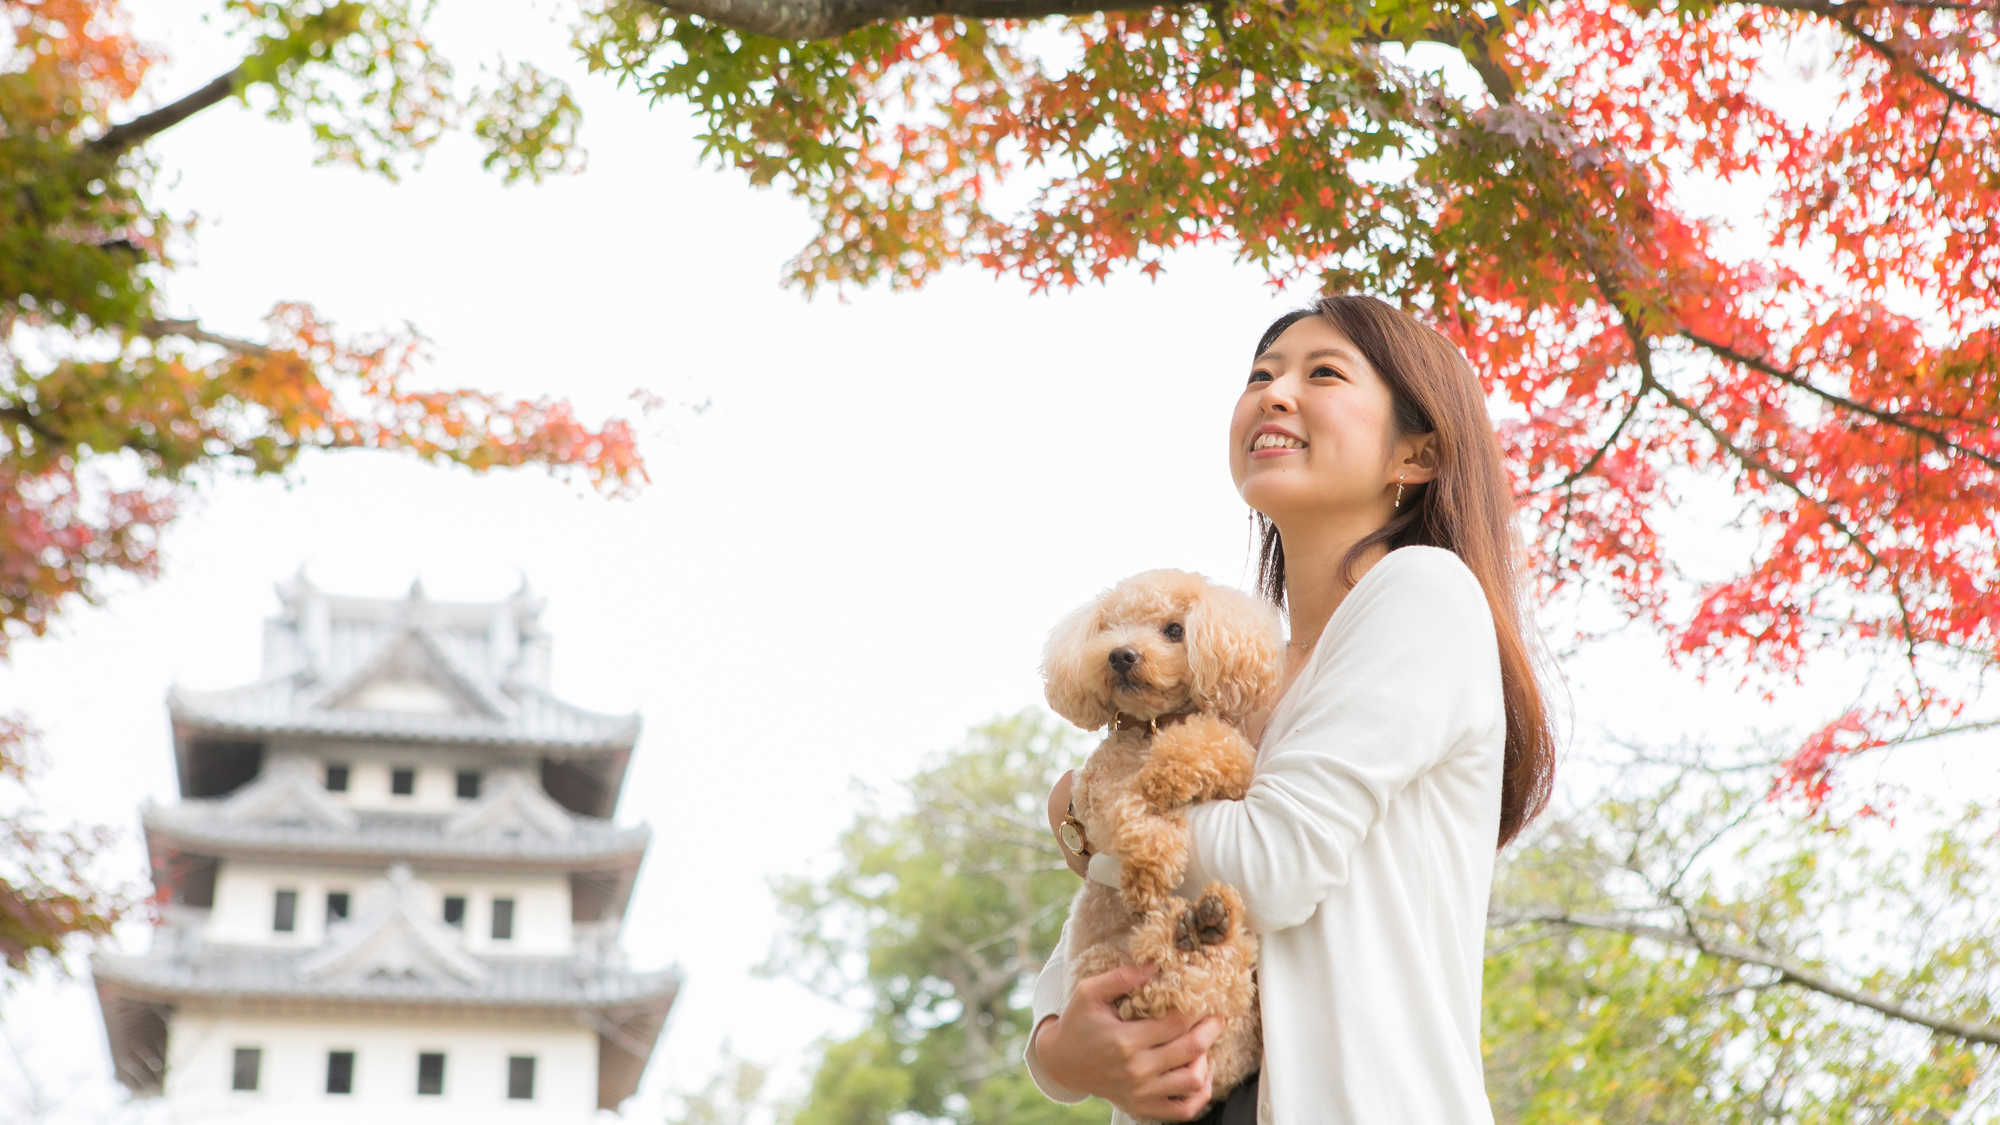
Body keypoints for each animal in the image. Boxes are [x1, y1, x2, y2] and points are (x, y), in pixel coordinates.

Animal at [1048, 568, 1280, 1112]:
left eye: (1175, 630)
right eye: (1110, 627)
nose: (1121, 655)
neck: (1152, 727)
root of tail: (1224, 1077)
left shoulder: (1236, 764)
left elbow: (1205, 743)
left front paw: (1166, 775)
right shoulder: (1097, 791)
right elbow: (1130, 812)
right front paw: (1149, 868)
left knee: (1204, 982)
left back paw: (1201, 929)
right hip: (1103, 967)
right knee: (1158, 990)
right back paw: (1190, 931)